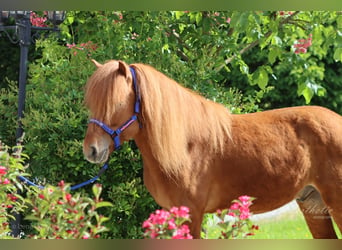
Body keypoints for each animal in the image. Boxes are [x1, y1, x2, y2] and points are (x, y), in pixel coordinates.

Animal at [83, 59, 342, 239]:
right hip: (313, 205)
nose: (91, 150)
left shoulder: (192, 216)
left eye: (117, 103)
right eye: (91, 103)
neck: (184, 147)